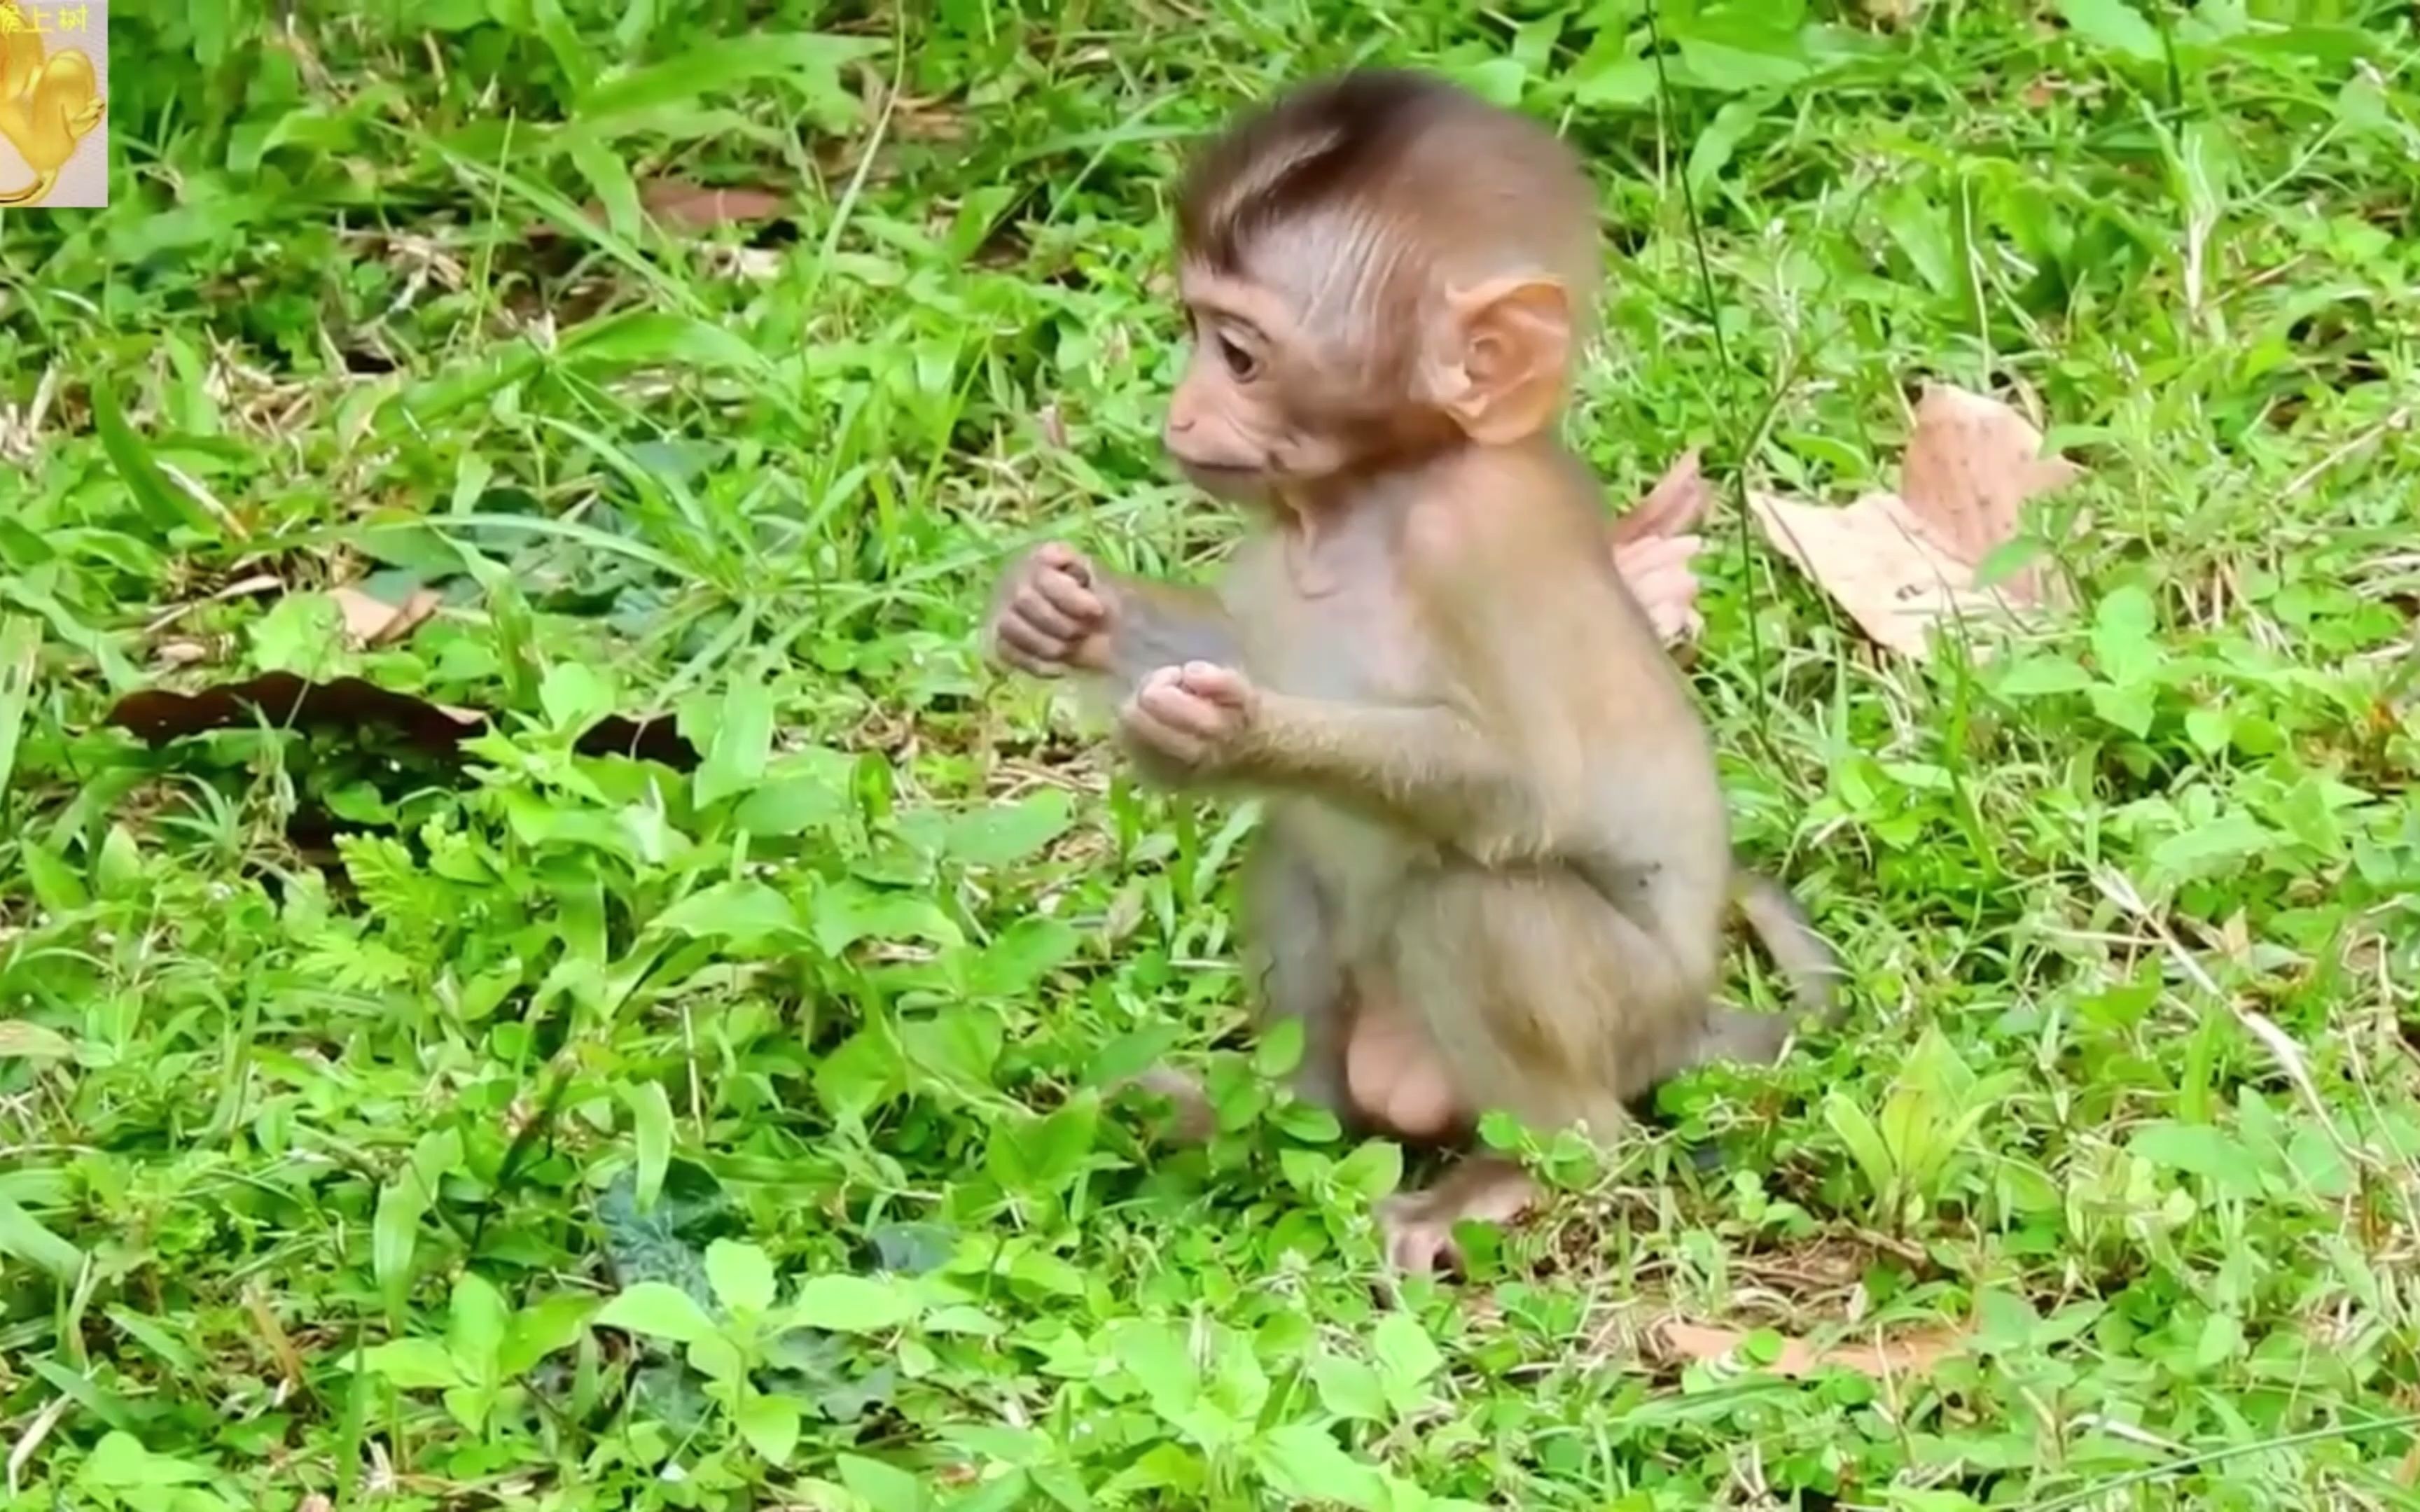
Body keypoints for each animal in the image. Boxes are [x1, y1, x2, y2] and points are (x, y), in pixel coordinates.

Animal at [982, 74, 1829, 1277]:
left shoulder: (1475, 543)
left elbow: (1525, 787)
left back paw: (1532, 1169)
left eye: (1240, 355)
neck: (1374, 498)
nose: (1180, 414)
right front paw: (1063, 612)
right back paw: (1280, 1120)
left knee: (1468, 901)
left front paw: (1230, 741)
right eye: (1193, 331)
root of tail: (1690, 1021)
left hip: (1624, 1019)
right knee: (1295, 858)